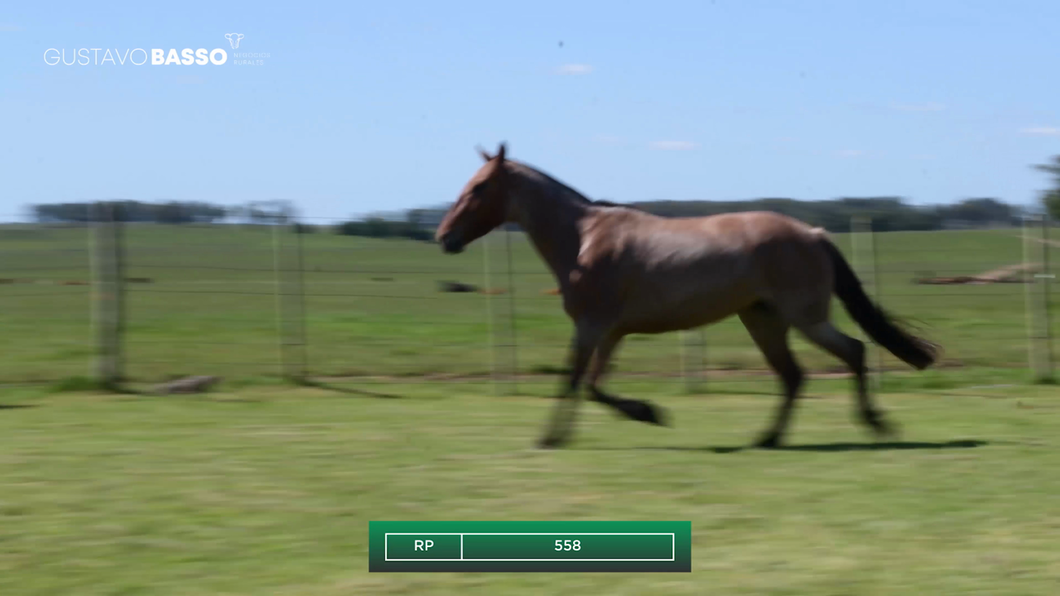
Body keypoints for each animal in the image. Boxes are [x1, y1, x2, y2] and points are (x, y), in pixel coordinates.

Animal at [434, 144, 941, 447]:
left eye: (479, 187)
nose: (444, 238)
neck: (582, 240)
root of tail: (813, 234)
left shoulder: (591, 326)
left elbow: (574, 381)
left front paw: (554, 437)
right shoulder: (610, 331)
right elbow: (593, 385)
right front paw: (647, 412)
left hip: (803, 317)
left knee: (852, 352)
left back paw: (874, 424)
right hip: (764, 320)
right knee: (795, 376)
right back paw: (768, 437)